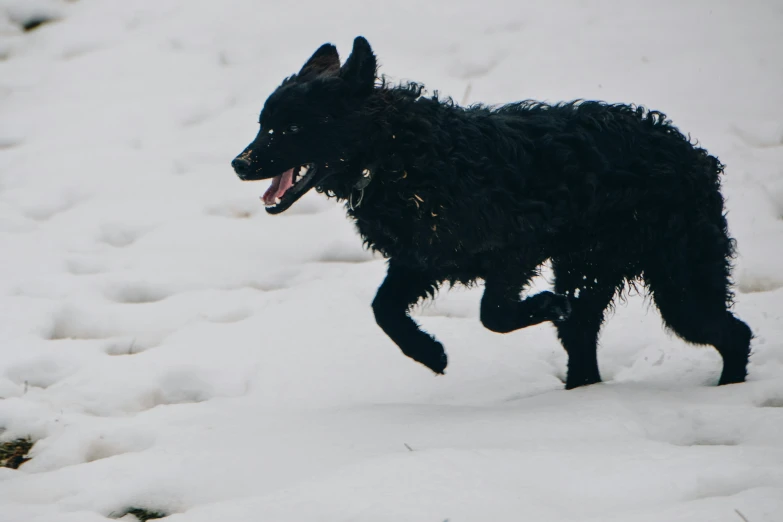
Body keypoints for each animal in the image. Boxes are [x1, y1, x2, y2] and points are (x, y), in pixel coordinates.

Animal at [233, 35, 752, 386]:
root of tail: (694, 156)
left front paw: (544, 305)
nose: (239, 164)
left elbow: (494, 314)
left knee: (736, 333)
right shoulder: (421, 259)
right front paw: (429, 353)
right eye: (262, 124)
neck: (399, 156)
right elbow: (384, 311)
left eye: (293, 127)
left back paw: (727, 390)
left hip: (679, 284)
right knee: (584, 336)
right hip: (593, 270)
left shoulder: (515, 250)